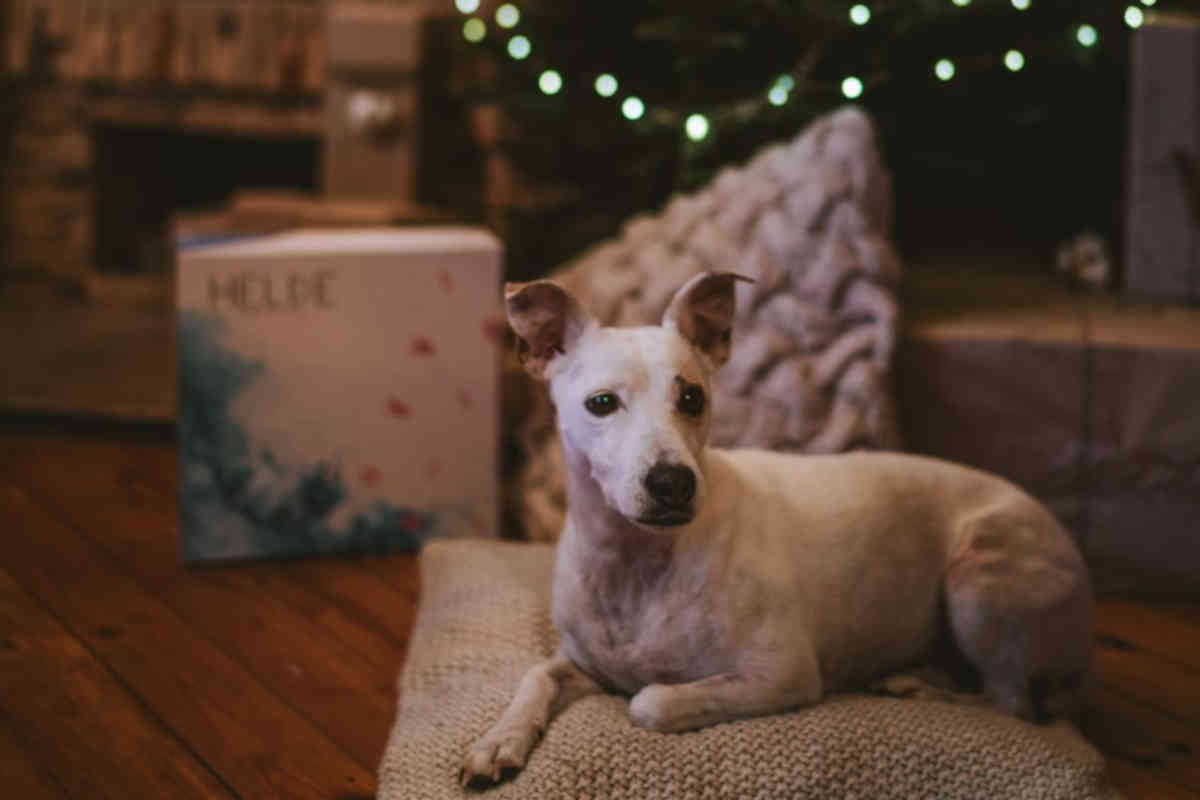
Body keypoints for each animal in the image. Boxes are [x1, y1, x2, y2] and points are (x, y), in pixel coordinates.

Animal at [460, 272, 1099, 786]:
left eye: (692, 397)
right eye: (600, 403)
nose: (673, 483)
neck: (637, 564)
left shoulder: (782, 674)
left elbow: (650, 701)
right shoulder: (581, 664)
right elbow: (535, 678)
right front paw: (498, 741)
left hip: (978, 580)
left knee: (1010, 704)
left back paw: (923, 688)